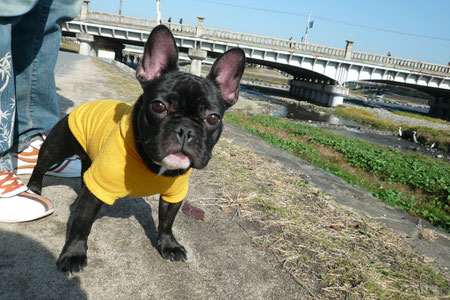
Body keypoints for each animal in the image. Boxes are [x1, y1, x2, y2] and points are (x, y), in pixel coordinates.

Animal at [27, 24, 246, 274]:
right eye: (158, 106)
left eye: (213, 118)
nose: (185, 130)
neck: (151, 161)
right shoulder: (96, 189)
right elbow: (81, 224)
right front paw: (73, 254)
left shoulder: (174, 194)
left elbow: (167, 221)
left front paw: (169, 246)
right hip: (57, 146)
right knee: (41, 165)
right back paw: (34, 188)